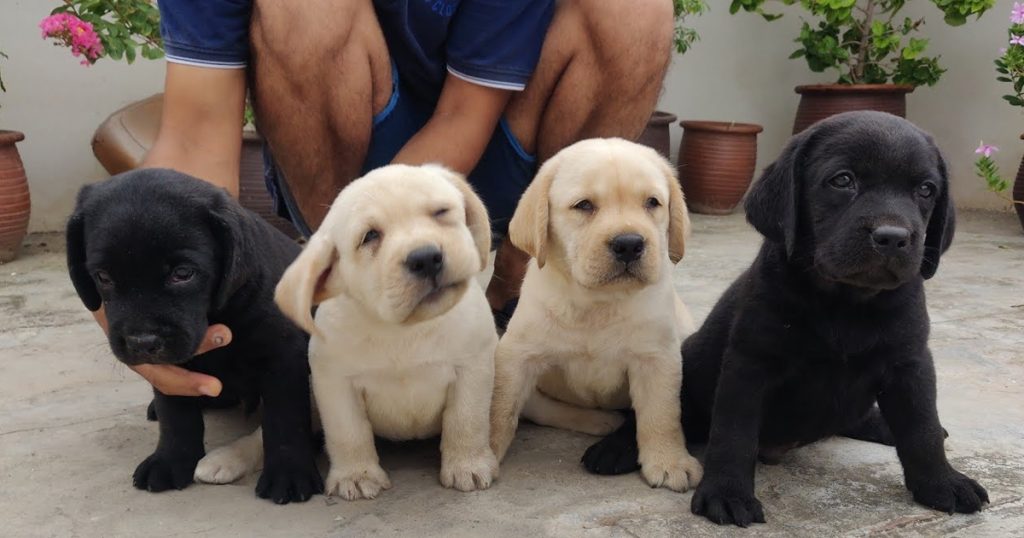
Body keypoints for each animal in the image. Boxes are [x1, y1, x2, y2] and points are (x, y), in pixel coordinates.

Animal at [66, 169, 321, 504]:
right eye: (103, 277)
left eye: (183, 273)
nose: (142, 343)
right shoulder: (171, 370)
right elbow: (175, 414)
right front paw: (170, 460)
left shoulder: (283, 355)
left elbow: (285, 417)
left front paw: (289, 473)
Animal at [489, 137, 704, 489]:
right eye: (584, 205)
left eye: (652, 202)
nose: (629, 244)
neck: (597, 302)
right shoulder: (517, 354)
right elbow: (500, 407)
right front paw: (481, 451)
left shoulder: (657, 358)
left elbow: (661, 414)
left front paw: (668, 460)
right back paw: (600, 421)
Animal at [585, 111, 991, 524]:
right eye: (842, 180)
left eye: (925, 190)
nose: (893, 237)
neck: (845, 303)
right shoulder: (750, 364)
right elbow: (733, 434)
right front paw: (727, 493)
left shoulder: (909, 363)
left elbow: (922, 428)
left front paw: (942, 482)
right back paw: (616, 447)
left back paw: (881, 424)